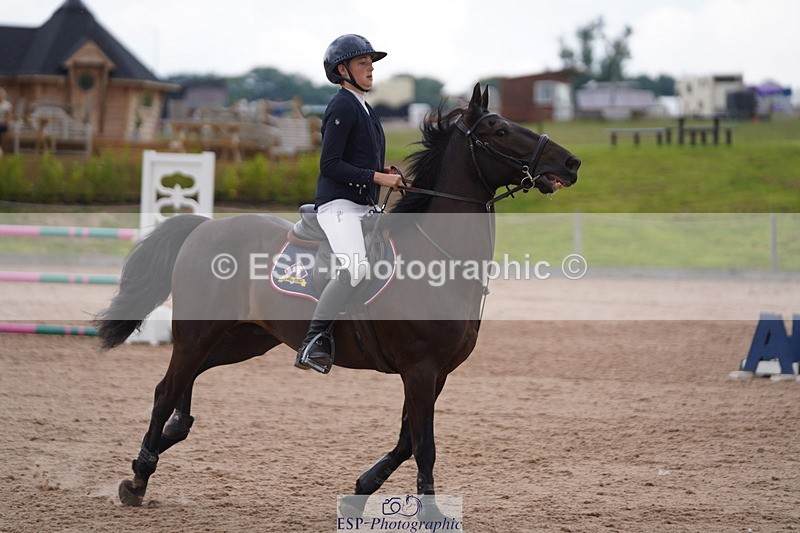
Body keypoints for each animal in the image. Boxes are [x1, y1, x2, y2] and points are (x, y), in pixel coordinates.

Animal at [96, 84, 581, 509]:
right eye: (499, 130)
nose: (572, 162)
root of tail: (205, 227)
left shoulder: (435, 373)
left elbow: (406, 440)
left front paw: (360, 490)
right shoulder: (420, 369)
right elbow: (424, 446)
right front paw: (430, 514)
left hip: (245, 338)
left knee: (186, 381)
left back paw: (170, 435)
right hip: (199, 332)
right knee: (165, 388)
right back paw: (139, 476)